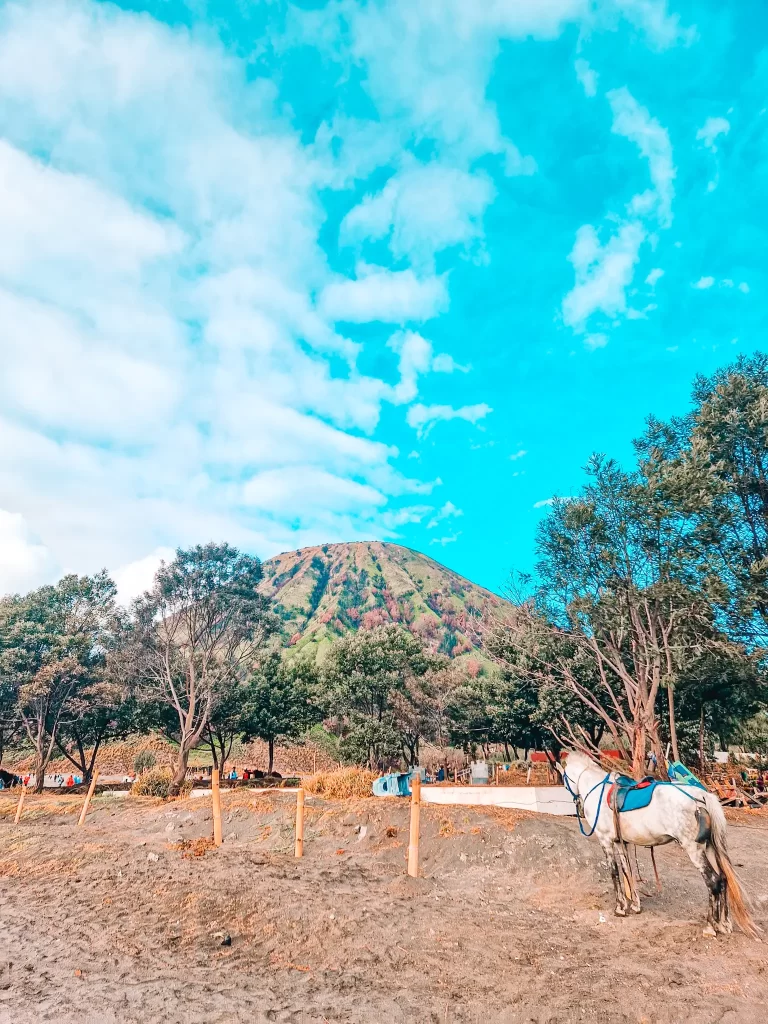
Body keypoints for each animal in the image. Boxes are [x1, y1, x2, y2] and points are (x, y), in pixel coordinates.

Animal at [561, 749, 761, 937]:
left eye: (564, 778)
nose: (575, 803)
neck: (598, 791)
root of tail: (701, 796)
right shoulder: (621, 843)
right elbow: (627, 870)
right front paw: (635, 905)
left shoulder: (606, 841)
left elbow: (615, 873)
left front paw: (620, 908)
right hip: (710, 847)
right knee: (724, 879)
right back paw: (724, 924)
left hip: (694, 849)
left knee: (713, 881)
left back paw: (711, 926)